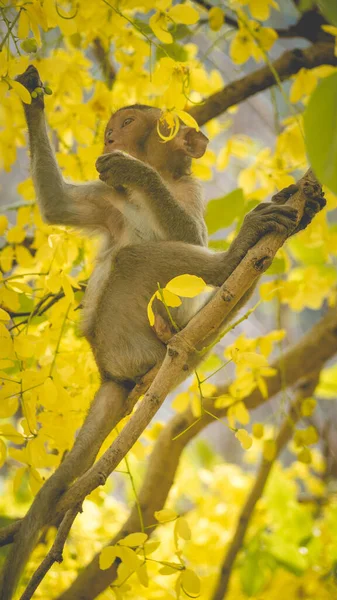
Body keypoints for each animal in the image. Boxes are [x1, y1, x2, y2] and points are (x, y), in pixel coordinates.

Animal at [0, 65, 326, 600]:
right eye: (113, 125)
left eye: (129, 122)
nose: (110, 136)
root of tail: (110, 370)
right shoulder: (110, 198)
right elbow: (60, 208)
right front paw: (32, 96)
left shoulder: (187, 192)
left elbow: (185, 234)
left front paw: (139, 171)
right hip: (126, 337)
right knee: (131, 260)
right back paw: (231, 266)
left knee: (143, 262)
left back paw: (229, 267)